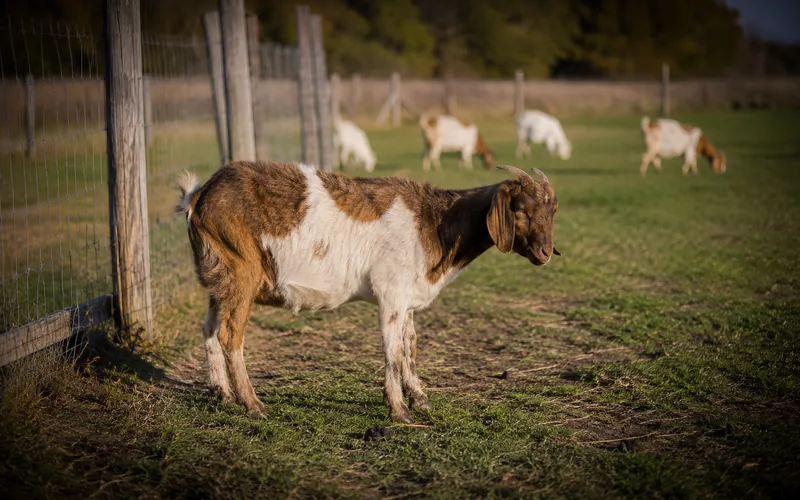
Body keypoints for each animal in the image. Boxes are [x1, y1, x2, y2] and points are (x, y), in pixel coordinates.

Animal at [176, 162, 560, 422]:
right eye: (520, 209)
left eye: (553, 210)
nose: (544, 252)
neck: (435, 225)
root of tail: (199, 197)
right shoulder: (390, 293)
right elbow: (393, 351)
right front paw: (400, 410)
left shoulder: (406, 298)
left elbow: (410, 345)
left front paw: (420, 398)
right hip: (241, 272)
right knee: (230, 335)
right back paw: (252, 403)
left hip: (219, 277)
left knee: (209, 328)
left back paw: (222, 394)